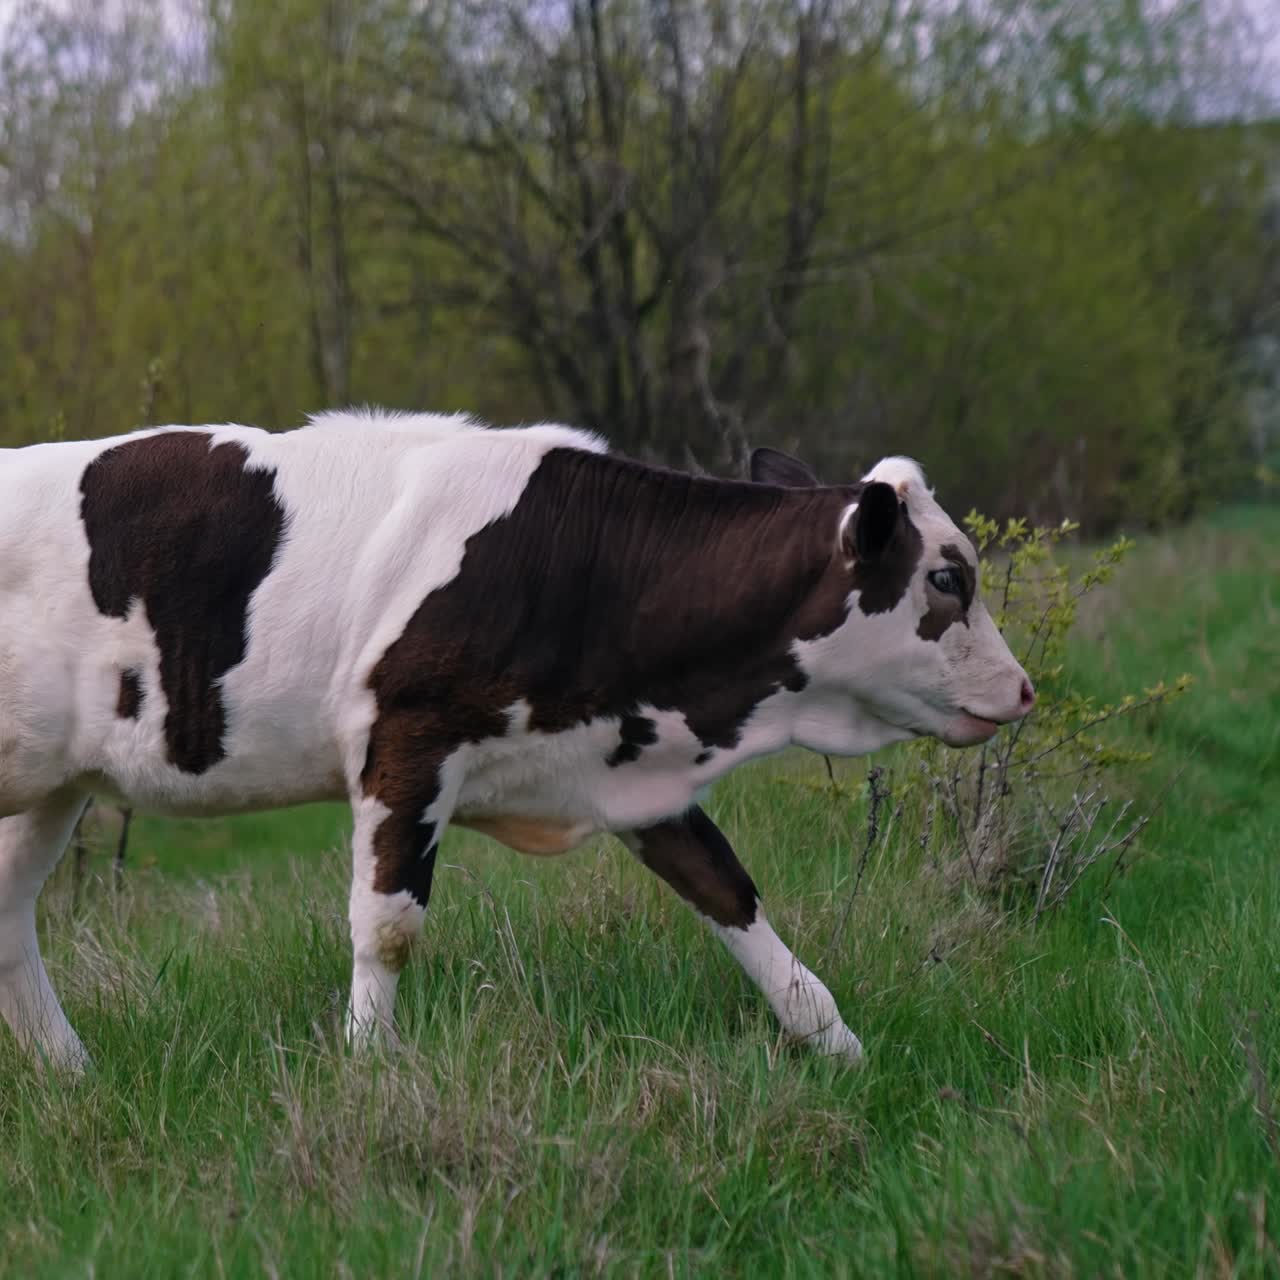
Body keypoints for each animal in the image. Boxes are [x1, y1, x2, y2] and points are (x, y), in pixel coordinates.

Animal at [0, 410, 1034, 1071]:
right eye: (949, 577)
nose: (1023, 691)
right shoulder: (408, 739)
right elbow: (388, 925)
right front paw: (370, 1069)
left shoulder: (632, 764)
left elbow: (730, 893)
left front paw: (842, 1050)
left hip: (49, 789)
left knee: (10, 921)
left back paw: (70, 1071)